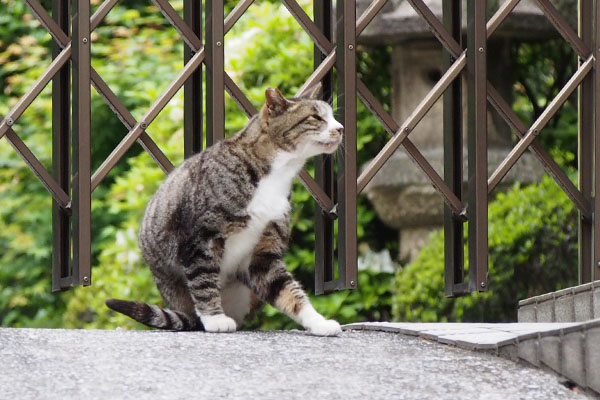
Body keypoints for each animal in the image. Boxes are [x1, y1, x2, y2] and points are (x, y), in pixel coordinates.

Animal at [105, 88, 344, 338]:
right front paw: (215, 318)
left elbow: (289, 291)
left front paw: (318, 322)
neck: (275, 175)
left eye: (332, 117)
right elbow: (203, 280)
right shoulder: (200, 239)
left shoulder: (262, 254)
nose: (341, 128)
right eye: (316, 117)